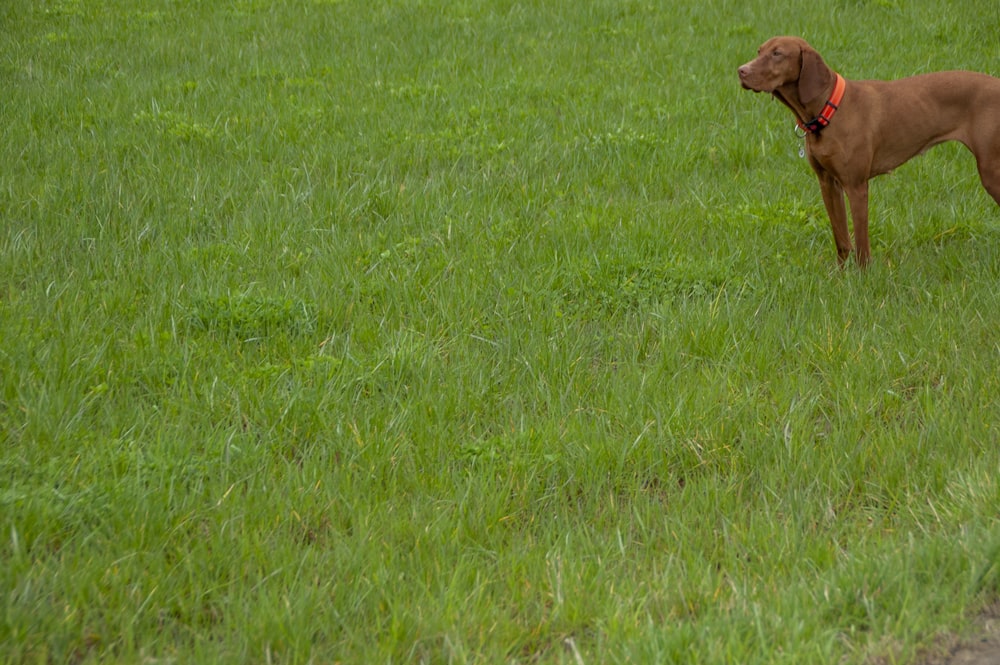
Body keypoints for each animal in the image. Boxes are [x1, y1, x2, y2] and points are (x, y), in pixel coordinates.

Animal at [736, 37, 1000, 266]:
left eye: (777, 53)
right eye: (759, 51)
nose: (741, 71)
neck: (829, 110)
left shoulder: (856, 186)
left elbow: (862, 242)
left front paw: (863, 278)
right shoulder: (828, 184)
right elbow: (841, 238)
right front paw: (840, 276)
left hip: (991, 171)